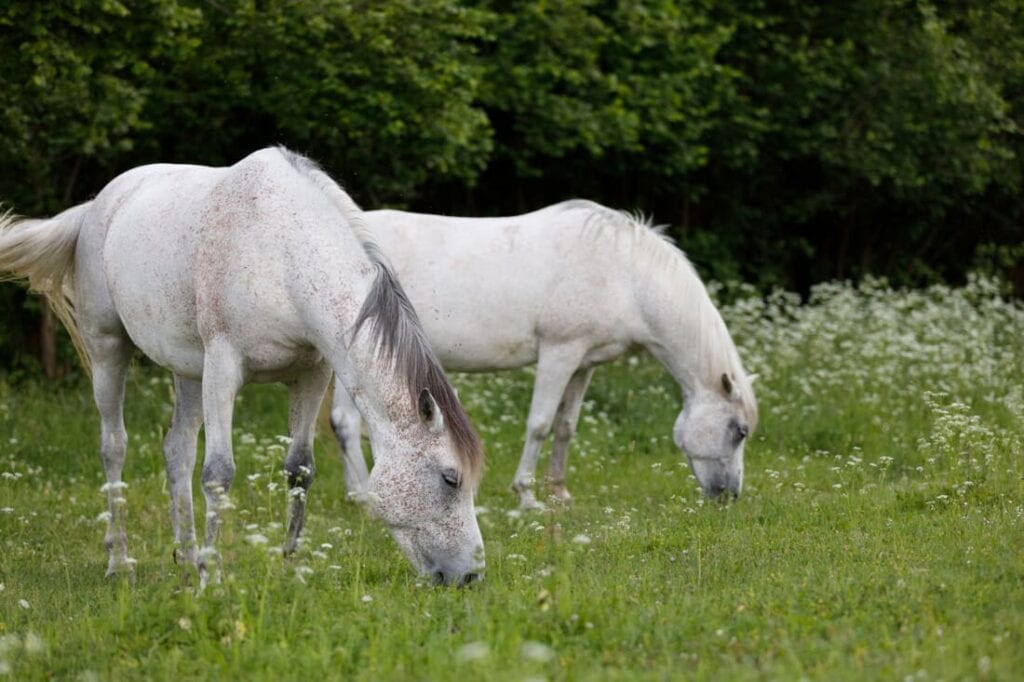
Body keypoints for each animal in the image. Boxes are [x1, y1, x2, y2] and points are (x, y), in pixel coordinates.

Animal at [0, 147, 484, 586]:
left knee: (176, 450)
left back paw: (187, 557)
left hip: (187, 371)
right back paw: (121, 563)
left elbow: (300, 468)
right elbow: (218, 474)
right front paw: (211, 581)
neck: (282, 255)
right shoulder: (223, 369)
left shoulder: (311, 375)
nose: (470, 575)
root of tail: (97, 205)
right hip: (108, 350)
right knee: (113, 447)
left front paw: (289, 567)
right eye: (450, 479)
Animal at [331, 200, 757, 510]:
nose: (729, 496)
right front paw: (527, 495)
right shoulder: (559, 353)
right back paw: (364, 496)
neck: (625, 275)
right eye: (739, 430)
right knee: (346, 421)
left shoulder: (584, 364)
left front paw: (559, 492)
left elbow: (565, 426)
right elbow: (539, 423)